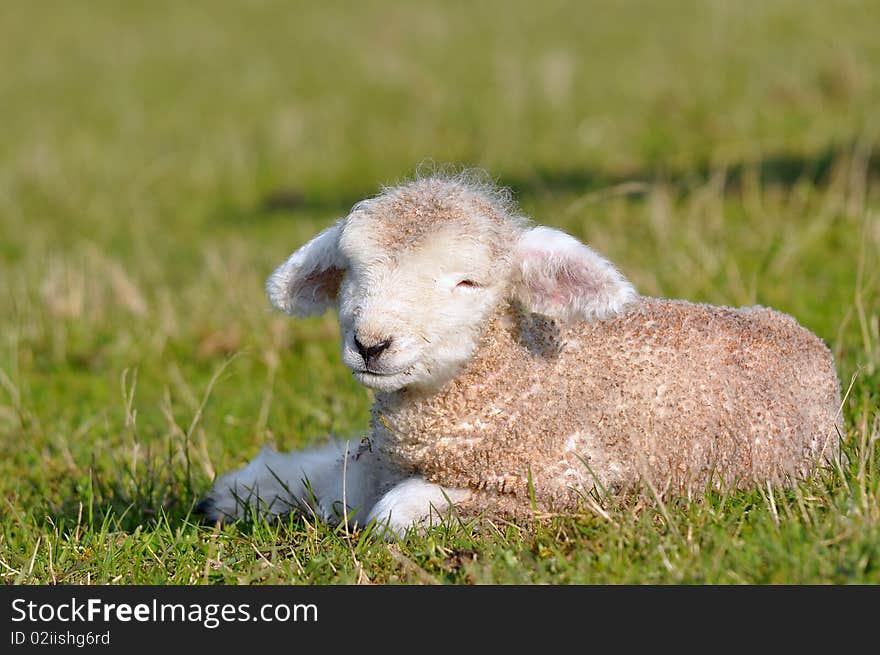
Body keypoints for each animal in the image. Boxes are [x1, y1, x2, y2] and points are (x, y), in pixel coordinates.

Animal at [196, 170, 844, 540]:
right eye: (350, 272)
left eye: (468, 283)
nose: (371, 344)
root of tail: (803, 337)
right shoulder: (378, 459)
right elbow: (336, 480)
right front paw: (237, 492)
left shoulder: (566, 486)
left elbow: (390, 513)